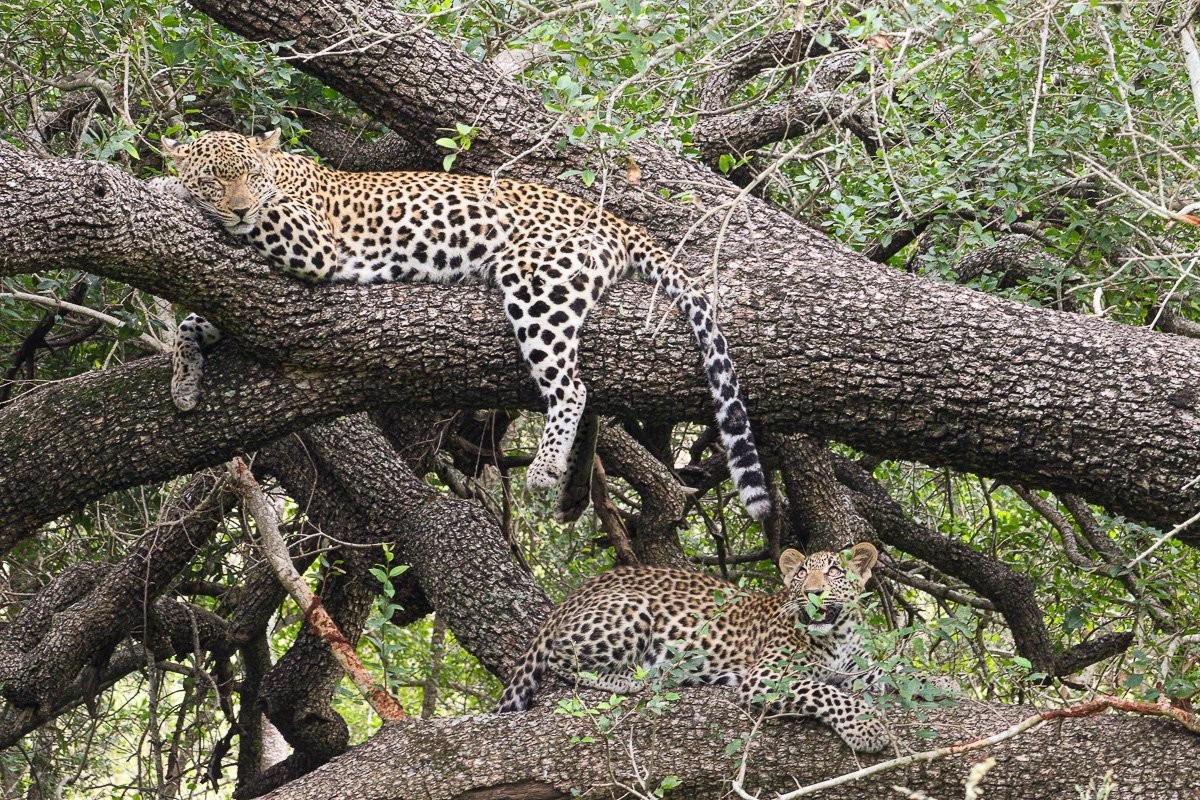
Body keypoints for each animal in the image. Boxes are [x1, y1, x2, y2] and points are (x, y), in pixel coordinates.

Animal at [155, 129, 770, 521]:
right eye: (216, 180)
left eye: (251, 176)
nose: (237, 208)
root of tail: (616, 220)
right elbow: (193, 321)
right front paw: (183, 383)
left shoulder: (310, 242)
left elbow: (260, 222)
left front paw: (164, 187)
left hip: (536, 280)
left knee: (572, 386)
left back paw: (545, 468)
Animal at [495, 542, 892, 754]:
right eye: (800, 575)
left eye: (835, 572)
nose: (812, 592)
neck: (837, 634)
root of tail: (581, 590)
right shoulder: (767, 675)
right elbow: (825, 692)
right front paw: (867, 727)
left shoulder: (857, 668)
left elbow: (888, 672)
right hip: (632, 609)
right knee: (562, 658)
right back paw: (632, 678)